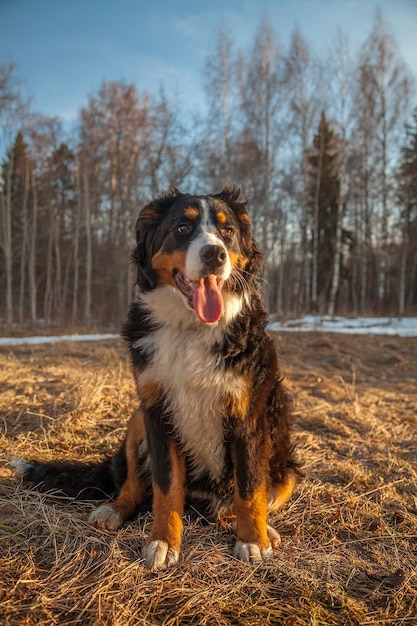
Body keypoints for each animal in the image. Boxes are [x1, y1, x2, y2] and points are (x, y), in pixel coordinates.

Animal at [11, 186, 300, 572]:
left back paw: (254, 526)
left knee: (240, 500)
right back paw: (113, 510)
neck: (191, 328)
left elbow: (249, 487)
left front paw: (253, 540)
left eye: (227, 231)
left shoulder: (248, 418)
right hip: (137, 421)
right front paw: (163, 541)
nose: (214, 254)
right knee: (133, 486)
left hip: (285, 467)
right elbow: (165, 487)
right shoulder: (157, 411)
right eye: (182, 228)